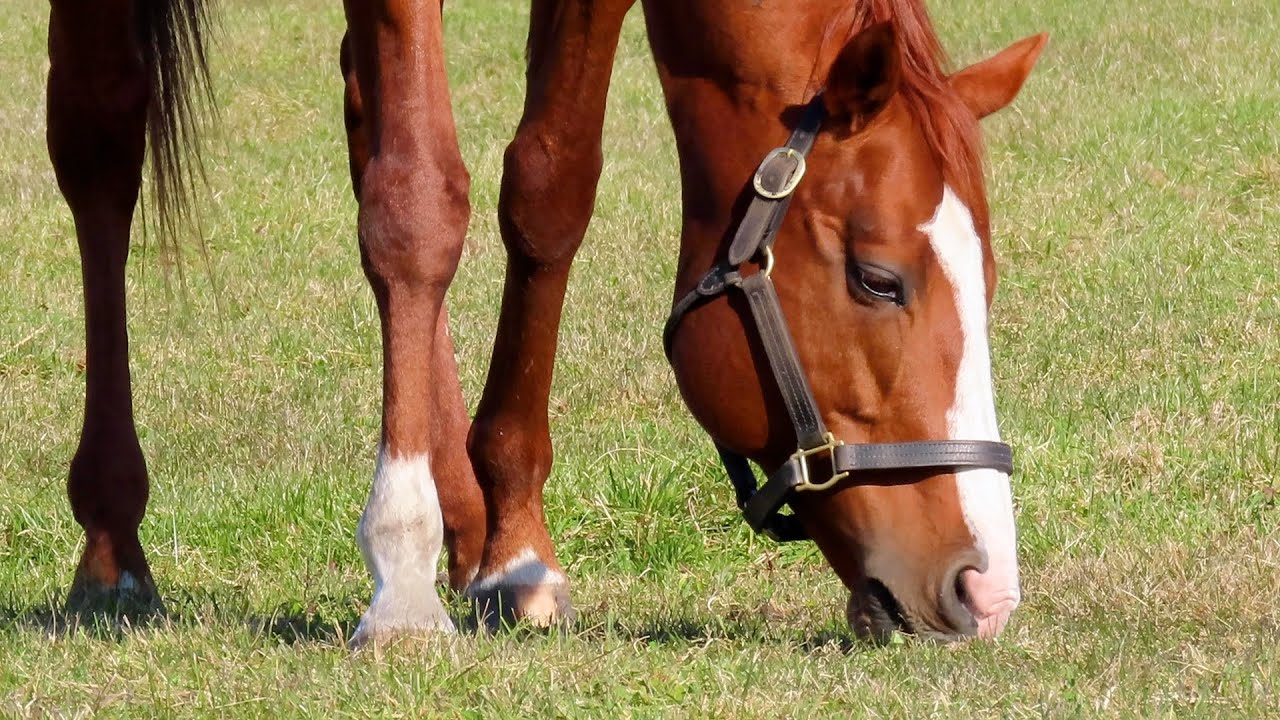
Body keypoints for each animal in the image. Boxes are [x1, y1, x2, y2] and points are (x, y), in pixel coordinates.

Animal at [44, 0, 1045, 647]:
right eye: (879, 280)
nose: (985, 586)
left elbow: (549, 185)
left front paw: (514, 548)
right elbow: (417, 202)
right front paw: (401, 576)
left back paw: (463, 519)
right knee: (101, 135)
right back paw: (112, 542)